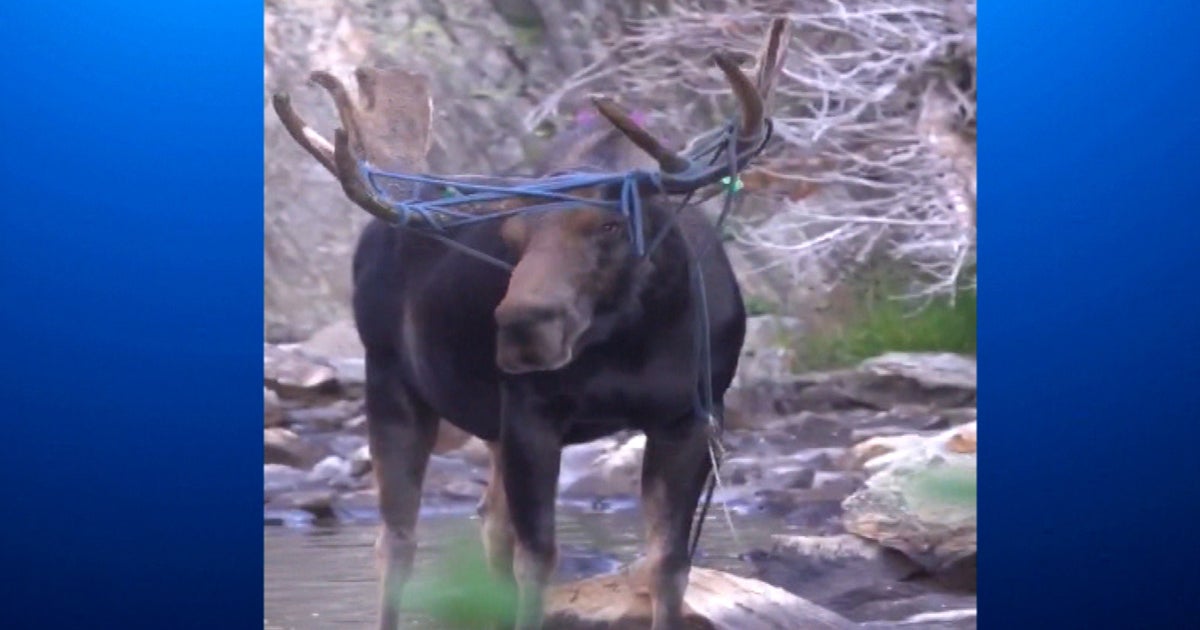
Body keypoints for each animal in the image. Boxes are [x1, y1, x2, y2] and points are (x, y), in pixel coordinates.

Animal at [271, 18, 790, 630]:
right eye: (512, 237)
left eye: (610, 224)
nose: (521, 328)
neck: (628, 343)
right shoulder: (530, 413)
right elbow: (538, 558)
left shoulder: (689, 418)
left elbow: (668, 563)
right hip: (392, 382)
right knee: (398, 540)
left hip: (486, 426)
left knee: (487, 524)